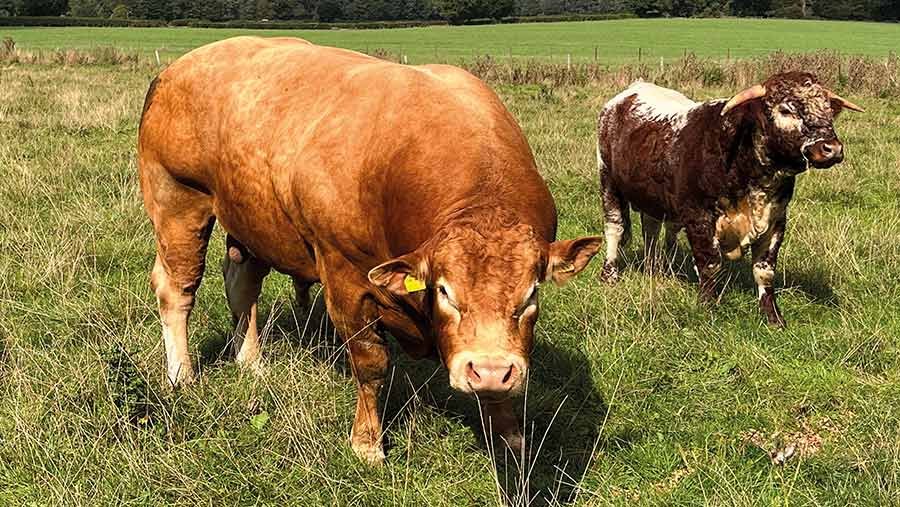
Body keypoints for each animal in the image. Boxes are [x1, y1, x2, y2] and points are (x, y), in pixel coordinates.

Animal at [137, 35, 600, 464]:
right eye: (445, 291)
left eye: (531, 294)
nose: (487, 370)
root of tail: (179, 67)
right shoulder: (344, 278)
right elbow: (371, 362)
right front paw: (367, 444)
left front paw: (508, 437)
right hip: (178, 202)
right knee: (176, 290)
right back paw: (181, 376)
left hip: (251, 222)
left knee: (242, 285)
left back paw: (251, 362)